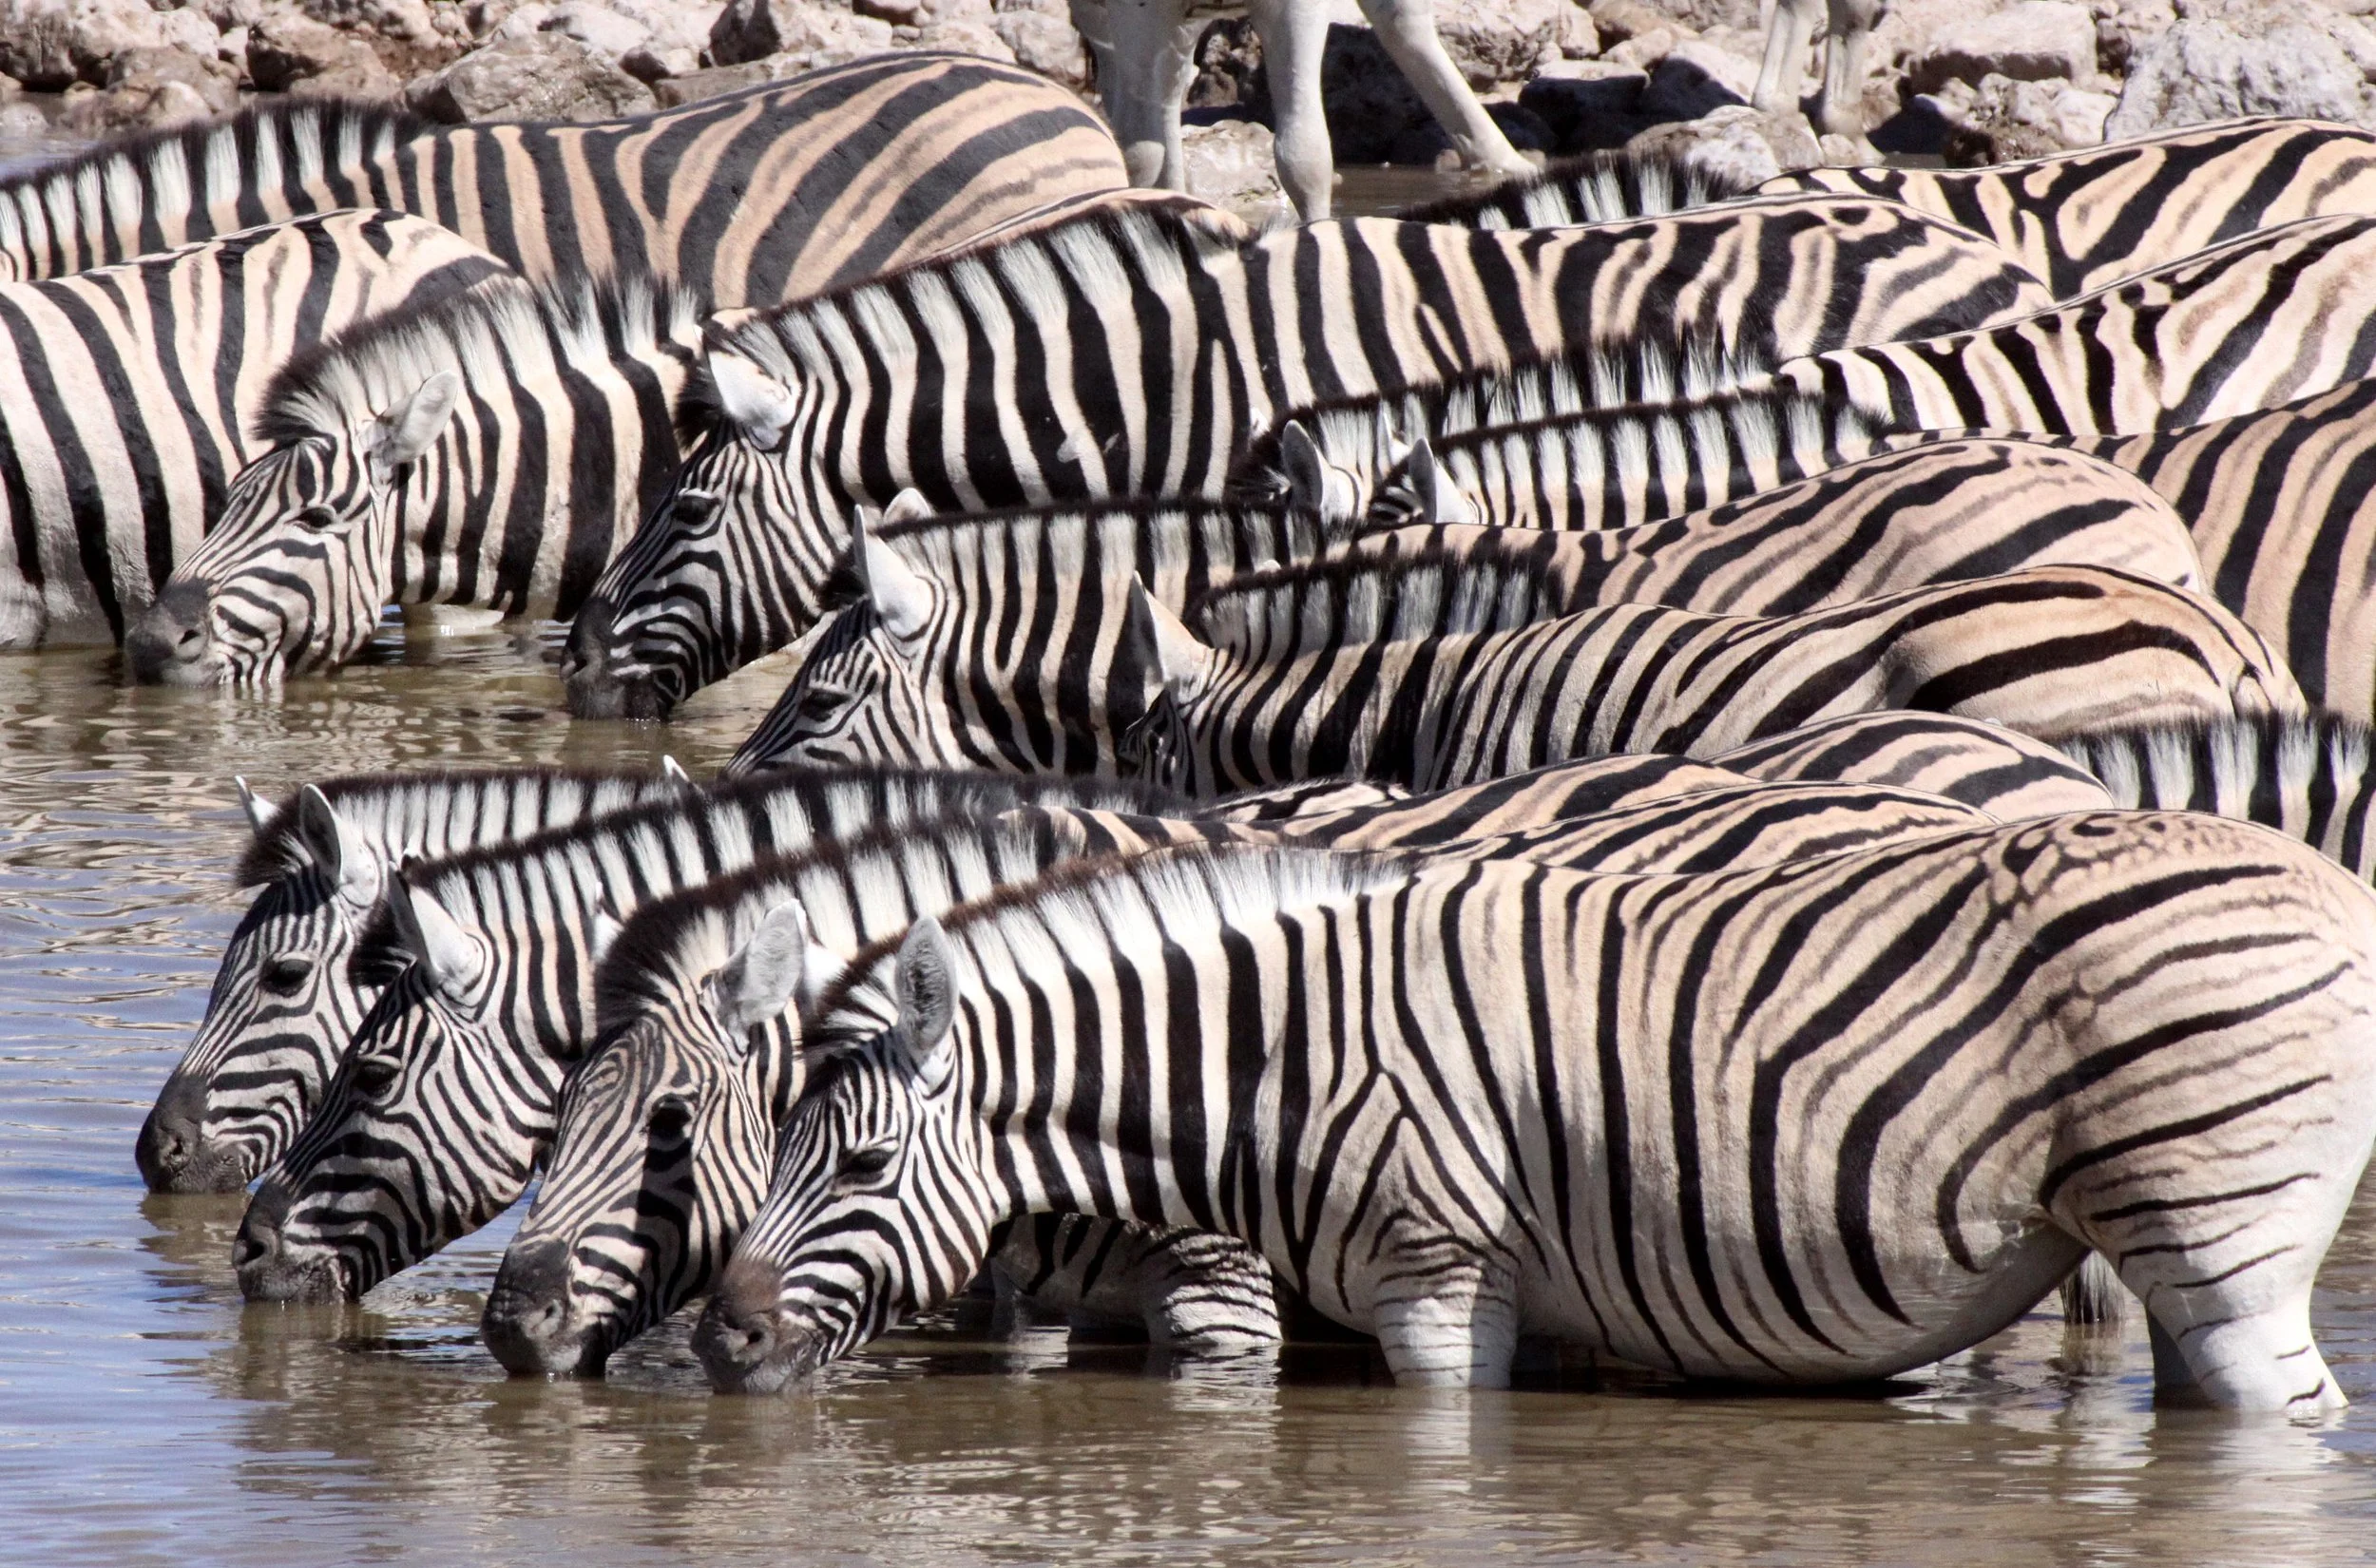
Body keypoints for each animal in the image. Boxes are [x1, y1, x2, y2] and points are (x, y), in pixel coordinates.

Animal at [696, 821, 2376, 1410]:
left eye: (858, 1159)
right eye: (773, 1146)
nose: (719, 1341)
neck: (1275, 1055)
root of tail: (2327, 879)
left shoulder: (1438, 1278)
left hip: (2218, 1232)